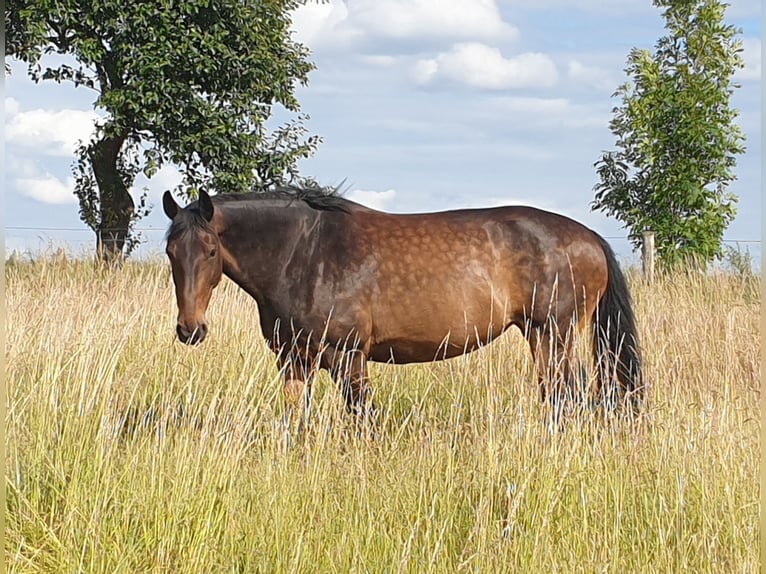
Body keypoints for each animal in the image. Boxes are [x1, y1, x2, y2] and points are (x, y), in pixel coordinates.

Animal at [165, 188, 644, 424]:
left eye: (210, 250)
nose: (190, 329)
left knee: (567, 394)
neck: (304, 251)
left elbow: (362, 419)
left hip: (553, 334)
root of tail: (590, 237)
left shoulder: (347, 356)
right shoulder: (293, 359)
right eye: (170, 252)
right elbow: (294, 419)